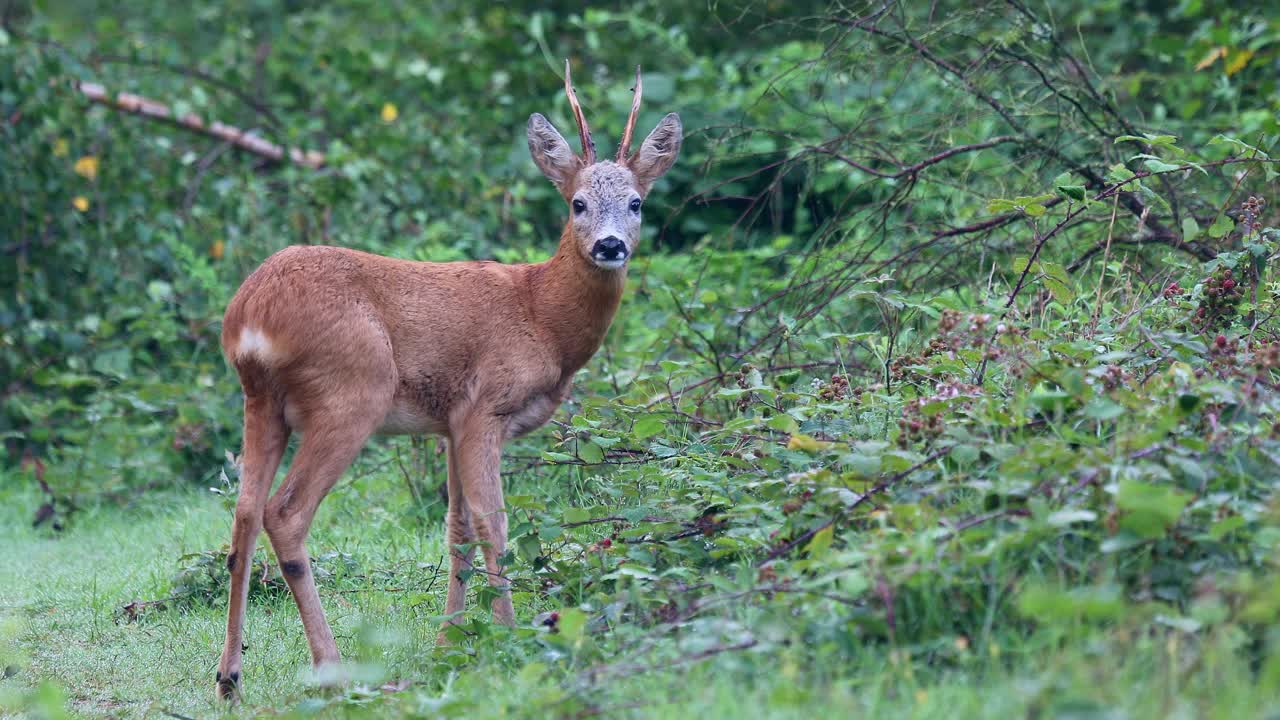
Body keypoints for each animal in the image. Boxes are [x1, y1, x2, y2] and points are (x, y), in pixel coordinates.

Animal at [212, 64, 680, 696]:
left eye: (637, 202)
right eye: (578, 203)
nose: (610, 246)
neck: (542, 315)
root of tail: (250, 314)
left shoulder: (450, 423)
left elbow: (456, 526)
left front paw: (448, 646)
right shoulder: (486, 408)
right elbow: (493, 523)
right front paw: (511, 637)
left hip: (260, 402)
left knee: (242, 511)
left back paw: (230, 677)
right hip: (352, 391)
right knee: (284, 512)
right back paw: (334, 670)